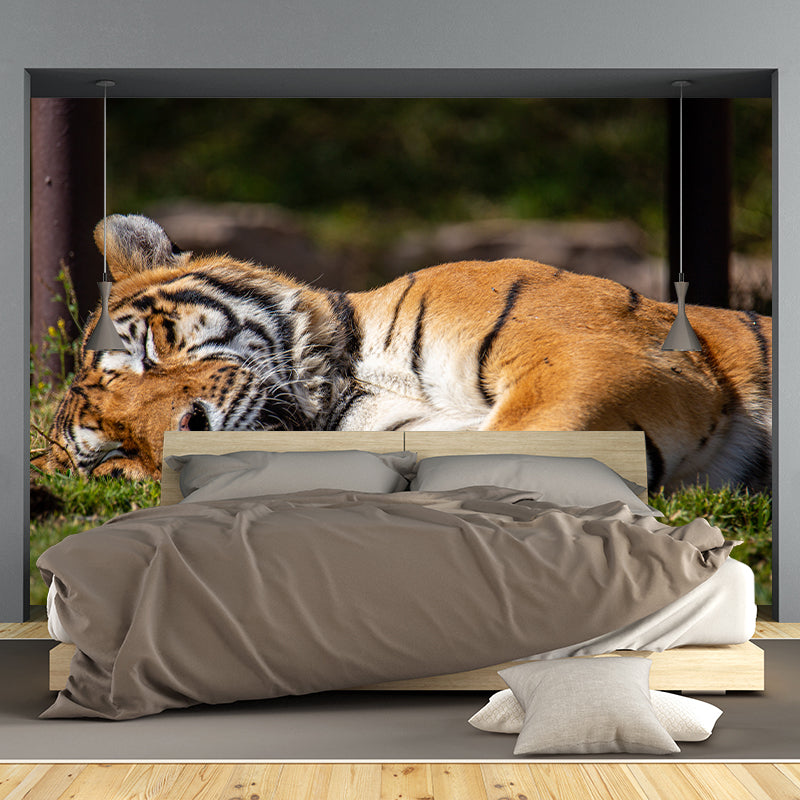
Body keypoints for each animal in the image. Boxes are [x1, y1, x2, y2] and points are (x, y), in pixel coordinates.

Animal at [35, 213, 772, 492]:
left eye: (152, 350)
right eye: (117, 455)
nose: (191, 431)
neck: (351, 380)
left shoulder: (592, 353)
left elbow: (529, 435)